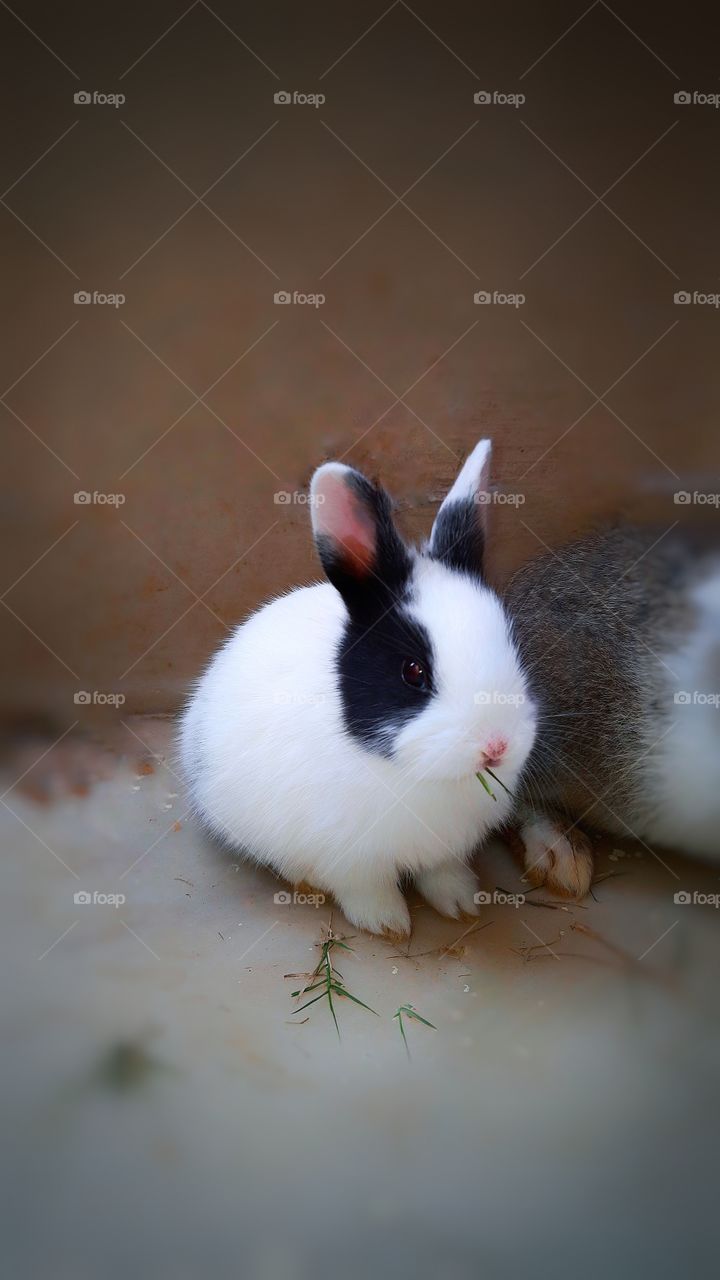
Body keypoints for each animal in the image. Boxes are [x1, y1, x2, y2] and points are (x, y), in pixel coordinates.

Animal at [179, 440, 538, 939]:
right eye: (413, 672)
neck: (422, 776)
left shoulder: (443, 848)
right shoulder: (347, 857)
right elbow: (365, 889)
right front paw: (388, 924)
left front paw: (461, 903)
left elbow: (441, 873)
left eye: (512, 644)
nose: (496, 747)